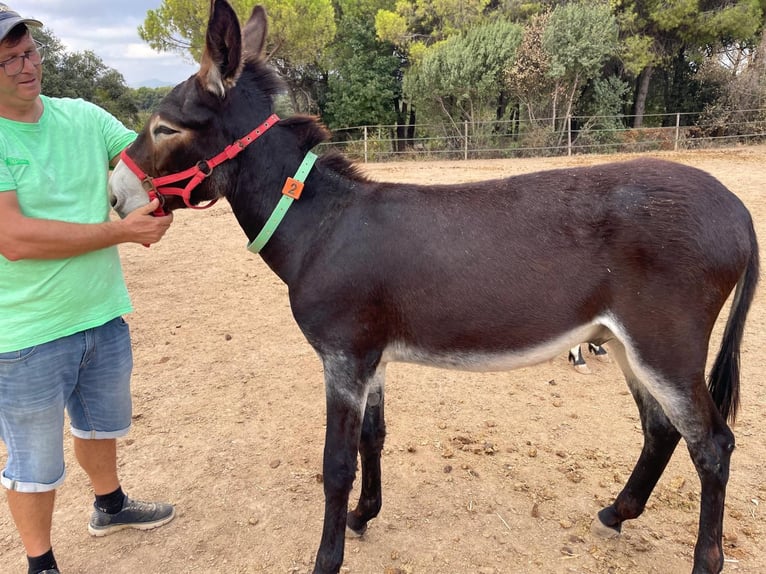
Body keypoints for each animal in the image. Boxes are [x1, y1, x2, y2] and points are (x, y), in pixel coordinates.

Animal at [108, 2, 759, 573]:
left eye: (163, 128)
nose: (113, 196)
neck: (320, 224)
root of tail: (737, 208)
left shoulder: (342, 357)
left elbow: (336, 463)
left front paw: (327, 557)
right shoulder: (368, 356)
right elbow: (373, 438)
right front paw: (364, 517)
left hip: (665, 345)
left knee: (712, 446)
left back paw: (704, 560)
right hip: (625, 342)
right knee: (660, 429)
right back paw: (617, 513)